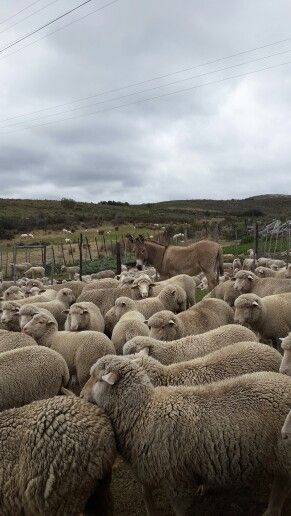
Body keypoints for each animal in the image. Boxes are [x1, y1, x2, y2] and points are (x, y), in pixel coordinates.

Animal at [88, 356, 291, 516]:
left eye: (95, 377)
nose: (82, 395)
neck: (143, 411)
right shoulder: (148, 467)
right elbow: (146, 494)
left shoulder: (174, 479)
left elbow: (179, 509)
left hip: (283, 454)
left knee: (281, 486)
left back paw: (271, 510)